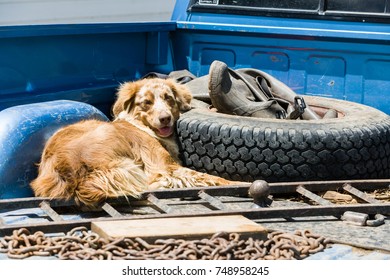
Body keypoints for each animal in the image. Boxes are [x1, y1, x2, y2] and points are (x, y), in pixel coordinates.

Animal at [31, 78, 235, 208]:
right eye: (146, 102)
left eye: (168, 98)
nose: (165, 118)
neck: (141, 125)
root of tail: (71, 172)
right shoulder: (164, 166)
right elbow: (209, 177)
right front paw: (234, 183)